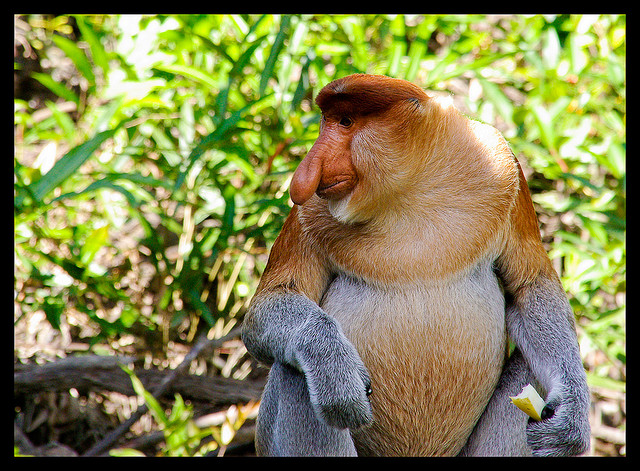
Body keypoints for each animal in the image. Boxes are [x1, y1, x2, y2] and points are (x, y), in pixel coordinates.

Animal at [242, 74, 592, 458]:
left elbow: (531, 286)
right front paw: (333, 369)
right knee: (294, 372)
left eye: (345, 122)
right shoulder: (308, 212)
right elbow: (267, 308)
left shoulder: (503, 168)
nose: (306, 171)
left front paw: (572, 416)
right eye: (327, 121)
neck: (408, 190)